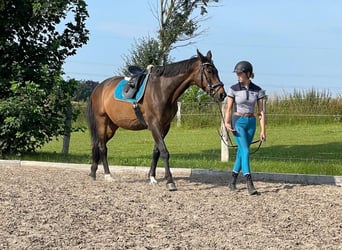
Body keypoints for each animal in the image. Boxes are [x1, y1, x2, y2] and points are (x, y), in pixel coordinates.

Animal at [87, 49, 227, 190]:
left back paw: (93, 172)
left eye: (216, 71)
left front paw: (152, 177)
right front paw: (170, 181)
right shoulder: (154, 124)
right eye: (209, 71)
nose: (222, 94)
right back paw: (108, 176)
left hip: (112, 127)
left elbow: (156, 151)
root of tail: (99, 88)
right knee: (102, 147)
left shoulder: (164, 126)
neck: (161, 90)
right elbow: (164, 152)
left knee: (97, 145)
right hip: (102, 122)